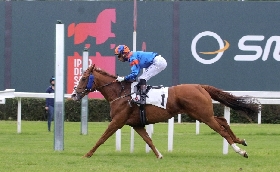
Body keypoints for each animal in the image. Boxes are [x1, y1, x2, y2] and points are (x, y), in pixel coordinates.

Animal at [71, 64, 260, 159]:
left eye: (84, 78)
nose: (74, 94)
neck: (121, 93)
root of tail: (200, 86)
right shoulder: (136, 124)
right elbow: (148, 140)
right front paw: (159, 155)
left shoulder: (118, 121)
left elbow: (102, 138)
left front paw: (87, 154)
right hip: (202, 114)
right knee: (223, 120)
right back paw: (241, 140)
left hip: (202, 115)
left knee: (221, 129)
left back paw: (240, 150)